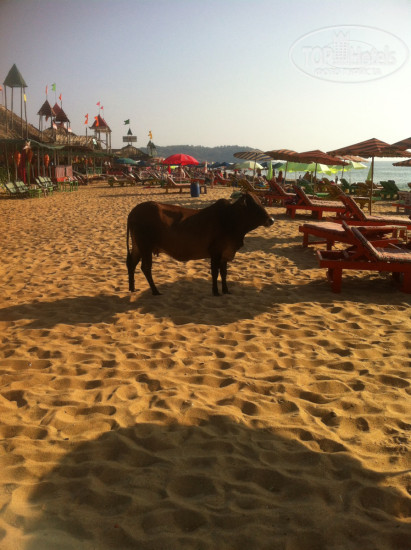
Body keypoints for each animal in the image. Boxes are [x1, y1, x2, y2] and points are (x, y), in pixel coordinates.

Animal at [126, 192, 274, 296]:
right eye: (254, 206)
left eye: (260, 203)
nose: (271, 220)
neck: (230, 219)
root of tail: (133, 211)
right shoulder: (215, 252)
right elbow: (215, 272)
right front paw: (216, 292)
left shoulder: (225, 253)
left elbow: (224, 273)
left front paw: (226, 290)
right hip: (145, 247)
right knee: (145, 268)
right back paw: (155, 291)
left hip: (138, 247)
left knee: (131, 263)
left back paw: (132, 288)